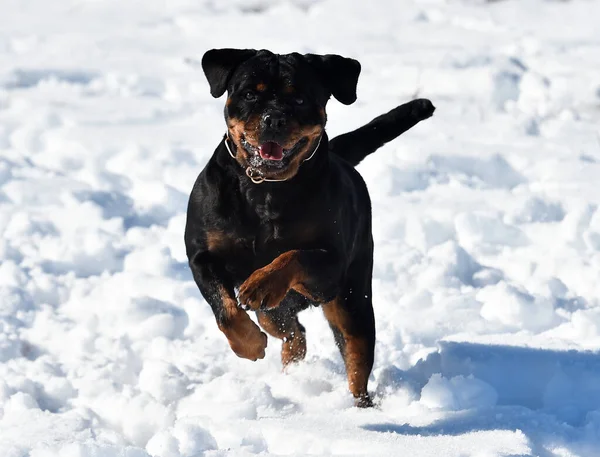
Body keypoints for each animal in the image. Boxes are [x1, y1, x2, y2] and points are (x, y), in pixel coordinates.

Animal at [185, 49, 434, 406]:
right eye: (249, 94)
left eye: (300, 98)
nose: (274, 118)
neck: (265, 190)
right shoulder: (202, 255)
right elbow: (225, 309)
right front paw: (249, 344)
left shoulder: (331, 268)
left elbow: (294, 256)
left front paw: (262, 283)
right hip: (282, 312)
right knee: (291, 331)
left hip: (352, 300)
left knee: (356, 356)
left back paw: (362, 406)